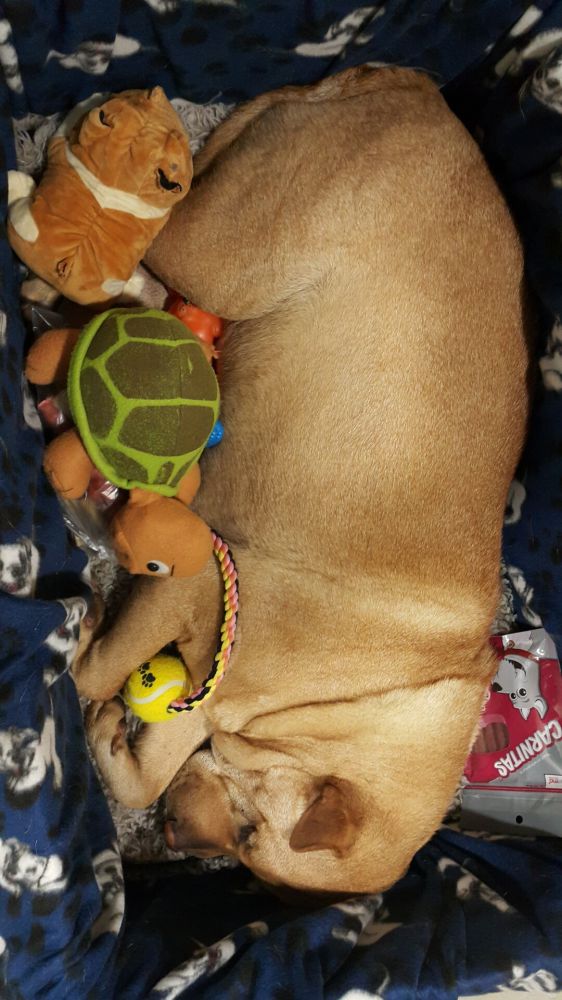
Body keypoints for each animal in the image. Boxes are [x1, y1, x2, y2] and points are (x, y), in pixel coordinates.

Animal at [77, 66, 530, 896]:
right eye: (251, 832)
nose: (174, 838)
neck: (363, 699)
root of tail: (415, 90)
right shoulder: (195, 587)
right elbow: (97, 674)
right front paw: (85, 647)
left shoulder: (211, 695)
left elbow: (146, 761)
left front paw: (112, 745)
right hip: (216, 252)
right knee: (147, 231)